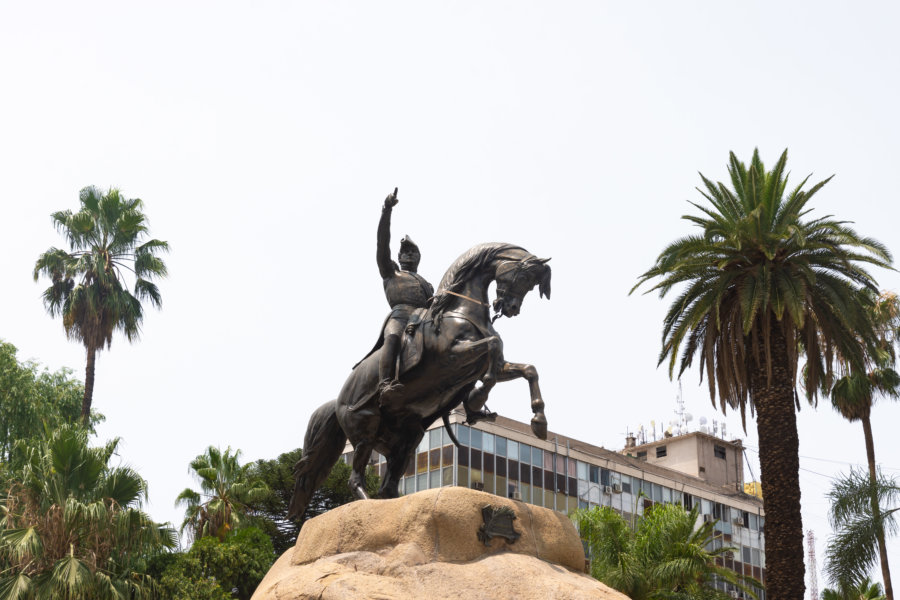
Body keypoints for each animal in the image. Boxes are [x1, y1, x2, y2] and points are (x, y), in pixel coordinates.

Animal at [292, 244, 552, 520]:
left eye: (532, 284)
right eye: (523, 276)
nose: (511, 308)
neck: (457, 312)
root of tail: (338, 400)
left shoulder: (493, 364)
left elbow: (528, 369)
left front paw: (539, 422)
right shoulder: (453, 355)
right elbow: (493, 347)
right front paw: (476, 399)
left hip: (408, 438)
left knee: (388, 486)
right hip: (365, 428)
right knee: (356, 478)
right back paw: (368, 506)